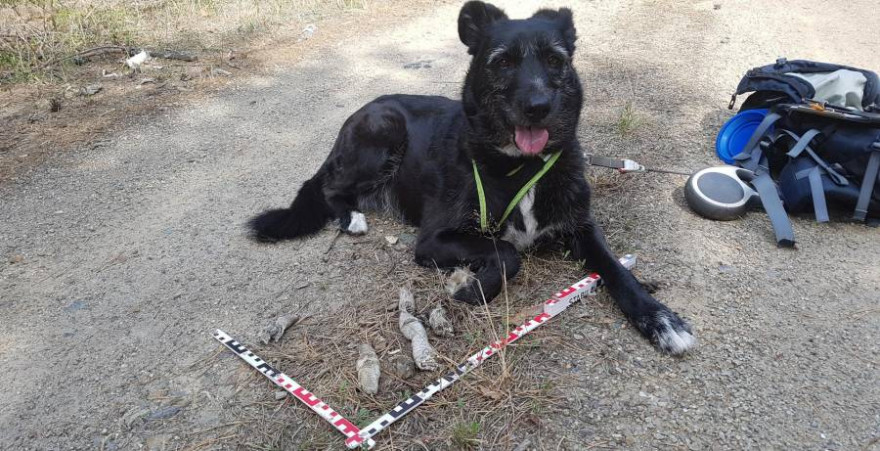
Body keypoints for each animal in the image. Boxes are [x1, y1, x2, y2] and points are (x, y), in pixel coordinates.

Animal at [249, 0, 696, 356]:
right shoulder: (433, 239)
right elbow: (508, 251)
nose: (538, 107)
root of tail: (360, 111)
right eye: (502, 61)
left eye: (555, 60)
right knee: (327, 188)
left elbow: (615, 268)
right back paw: (352, 219)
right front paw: (474, 286)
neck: (521, 166)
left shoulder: (582, 226)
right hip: (383, 132)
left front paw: (660, 318)